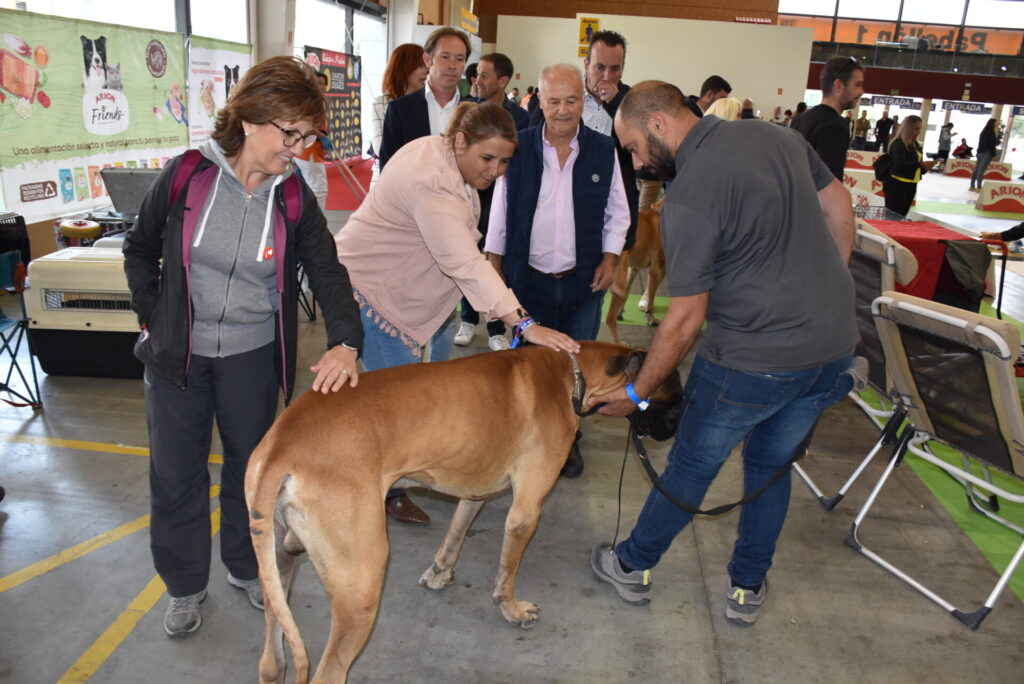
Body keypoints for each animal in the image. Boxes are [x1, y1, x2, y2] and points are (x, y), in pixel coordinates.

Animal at [243, 342, 684, 684]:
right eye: (677, 401)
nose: (673, 434)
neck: (573, 373)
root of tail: (282, 443)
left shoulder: (475, 490)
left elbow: (455, 533)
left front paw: (440, 572)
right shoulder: (525, 512)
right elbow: (507, 572)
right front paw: (512, 609)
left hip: (279, 568)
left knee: (271, 662)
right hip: (361, 585)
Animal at [602, 198, 667, 348]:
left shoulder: (633, 268)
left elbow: (627, 294)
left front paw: (621, 312)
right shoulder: (656, 271)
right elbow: (650, 300)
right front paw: (651, 318)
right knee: (609, 319)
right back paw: (619, 342)